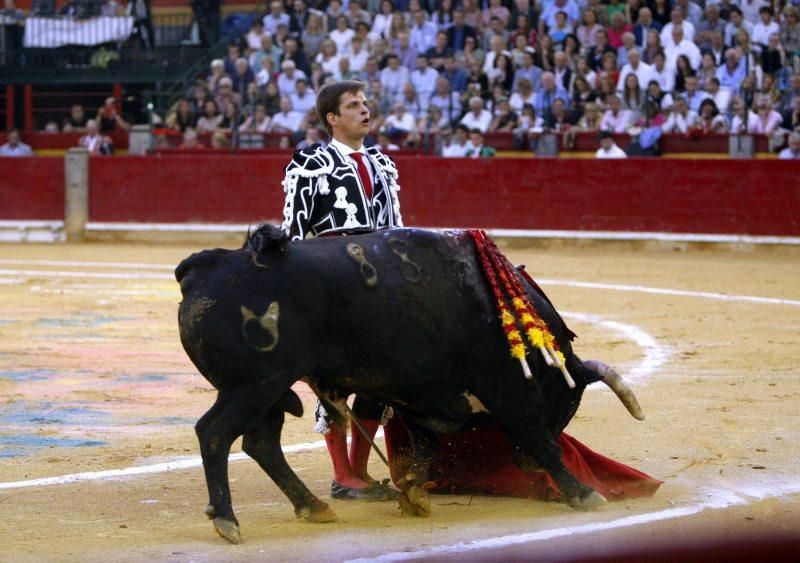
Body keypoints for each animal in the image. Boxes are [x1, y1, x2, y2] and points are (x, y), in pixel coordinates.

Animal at [175, 226, 644, 548]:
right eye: (568, 400)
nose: (523, 464)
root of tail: (204, 267)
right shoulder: (507, 388)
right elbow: (538, 437)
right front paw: (583, 492)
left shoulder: (424, 395)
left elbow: (424, 445)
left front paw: (414, 493)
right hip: (252, 386)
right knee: (215, 433)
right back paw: (228, 520)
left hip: (269, 392)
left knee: (261, 443)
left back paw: (313, 506)